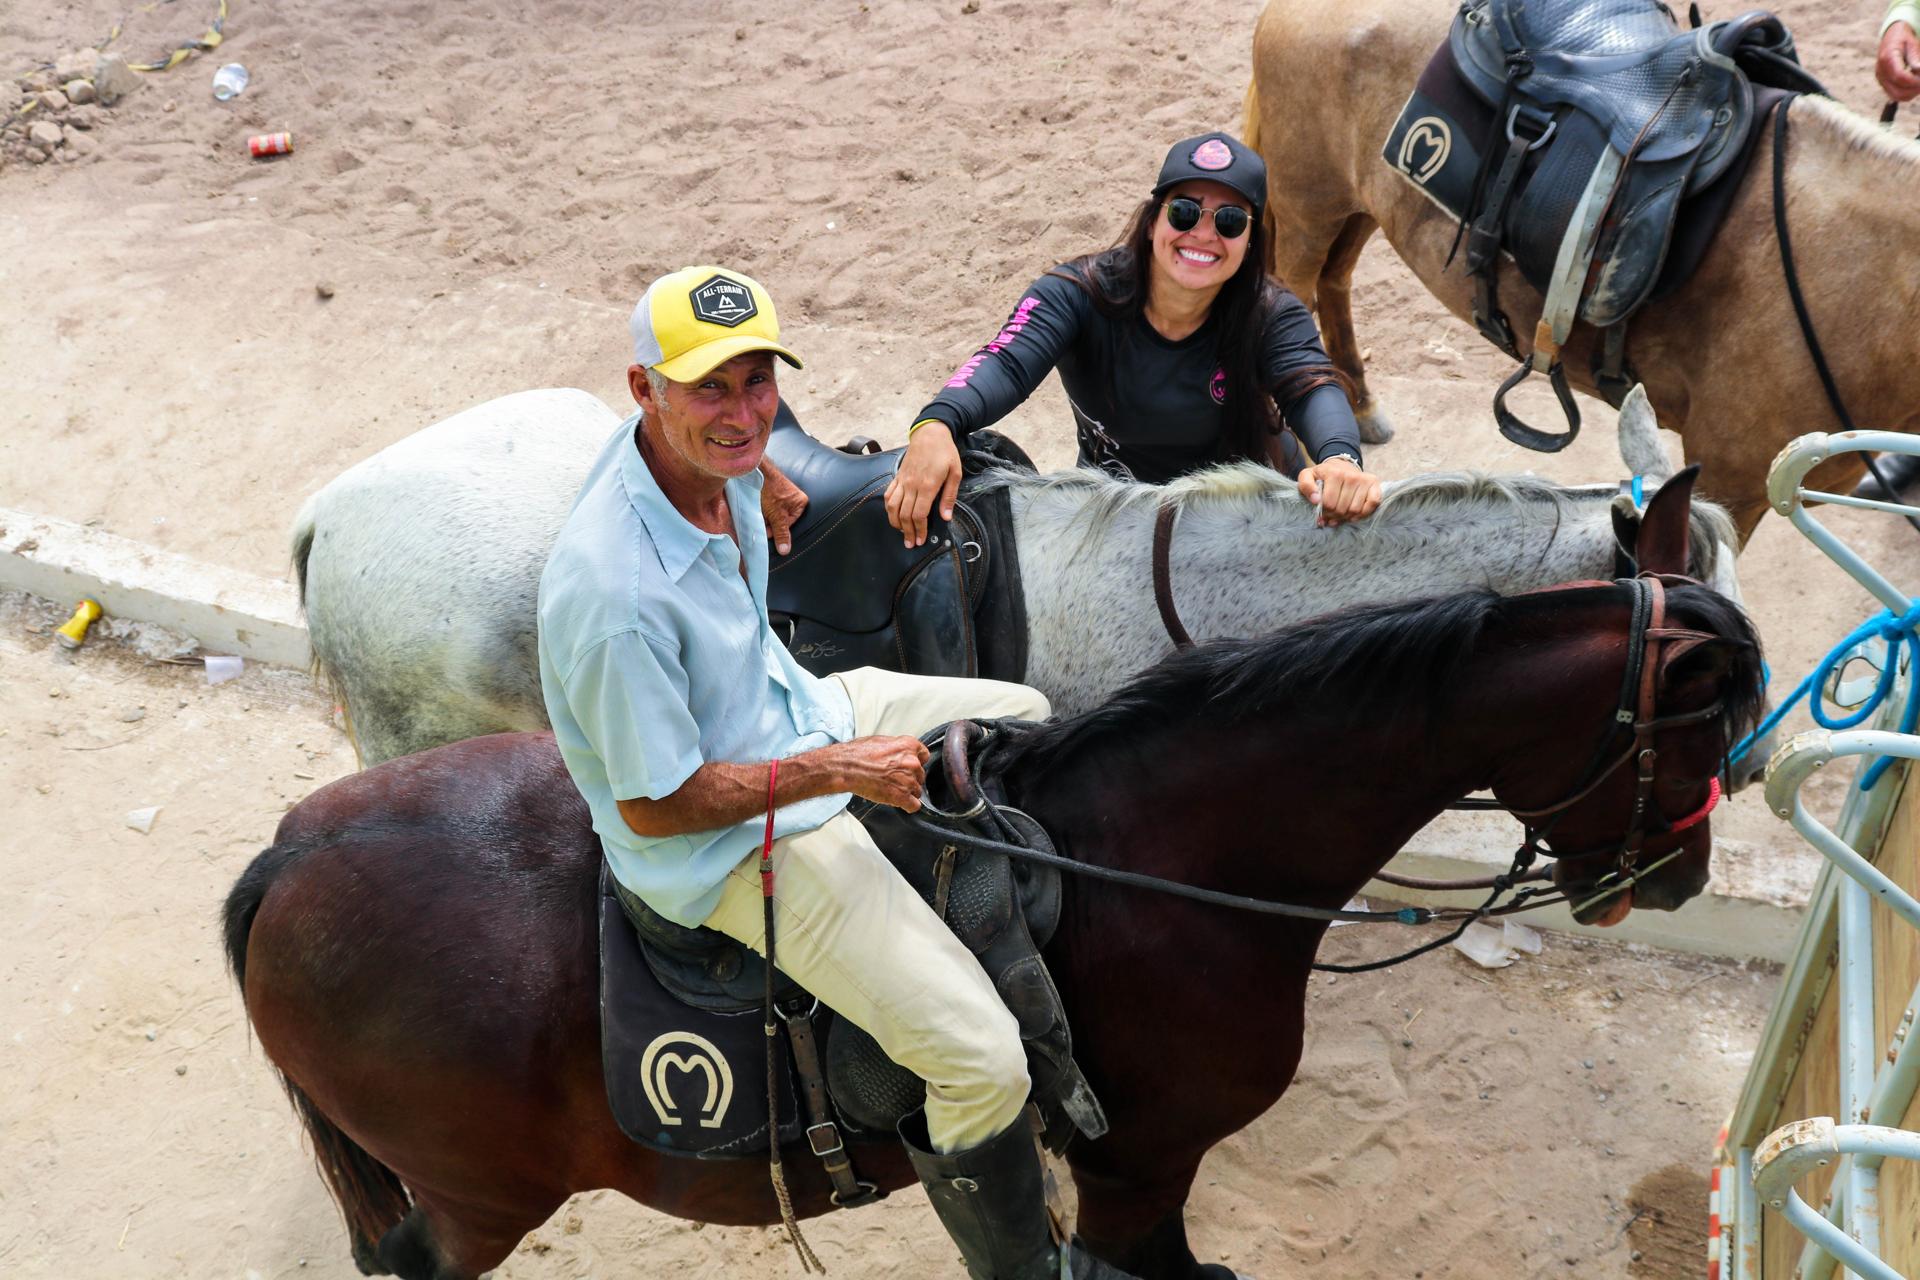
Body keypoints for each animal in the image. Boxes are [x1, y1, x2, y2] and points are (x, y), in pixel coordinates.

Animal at [225, 499, 1766, 1280]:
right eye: (1700, 730)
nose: (1676, 876)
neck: (1168, 862)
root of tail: (290, 857)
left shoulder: (1141, 1169)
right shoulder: (1140, 1161)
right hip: (482, 1193)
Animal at [1242, 0, 1920, 541]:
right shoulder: (1728, 475)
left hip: (1358, 204)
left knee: (1335, 283)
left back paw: (1359, 406)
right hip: (1309, 205)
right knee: (1295, 294)